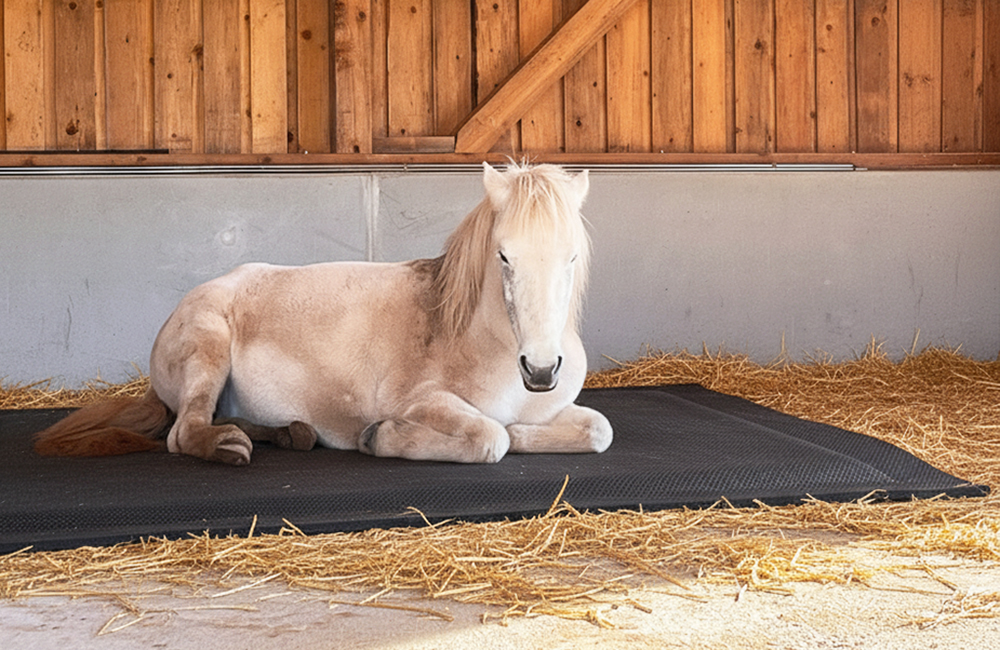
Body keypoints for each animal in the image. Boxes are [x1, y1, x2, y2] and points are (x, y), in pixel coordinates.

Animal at [33, 162, 613, 465]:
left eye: (572, 257)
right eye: (503, 255)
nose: (541, 369)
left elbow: (596, 429)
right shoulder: (425, 402)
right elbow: (491, 437)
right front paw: (380, 438)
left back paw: (290, 433)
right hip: (207, 346)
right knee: (185, 431)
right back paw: (229, 446)